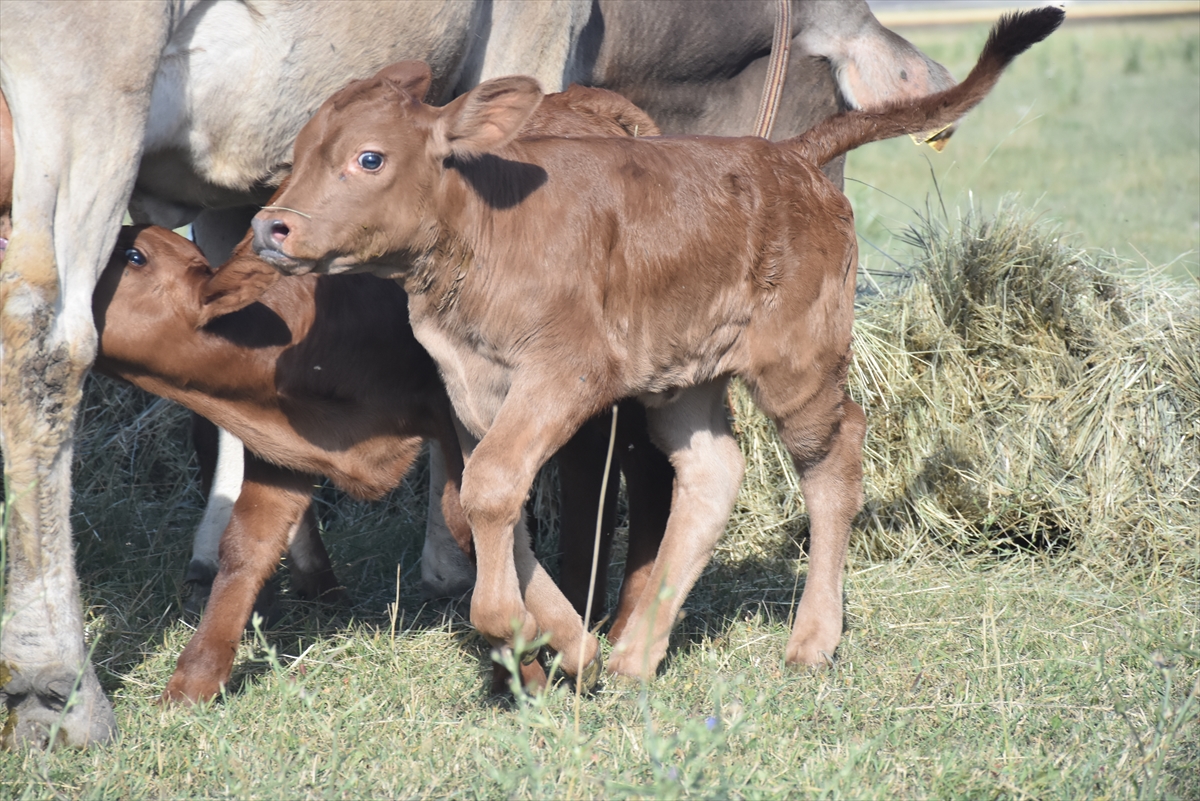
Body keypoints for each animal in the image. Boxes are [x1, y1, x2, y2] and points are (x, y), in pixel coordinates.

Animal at [250, 9, 1060, 681]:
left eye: (370, 159)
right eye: (300, 154)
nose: (270, 226)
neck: (485, 231)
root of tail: (789, 155)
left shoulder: (568, 370)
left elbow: (492, 490)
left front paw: (508, 625)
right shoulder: (474, 389)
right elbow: (492, 499)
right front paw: (571, 643)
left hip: (799, 364)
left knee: (836, 457)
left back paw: (812, 640)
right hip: (684, 373)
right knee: (712, 470)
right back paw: (637, 653)